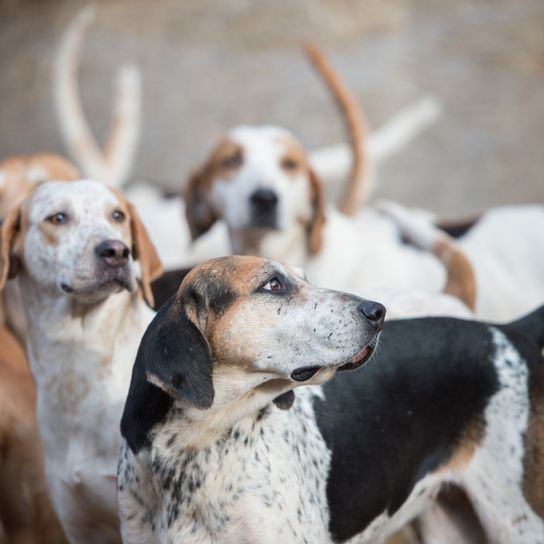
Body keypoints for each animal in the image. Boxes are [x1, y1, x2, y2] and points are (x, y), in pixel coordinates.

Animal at [119, 258, 544, 544]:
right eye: (272, 284)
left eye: (305, 277)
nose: (377, 311)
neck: (196, 449)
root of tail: (506, 332)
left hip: (519, 522)